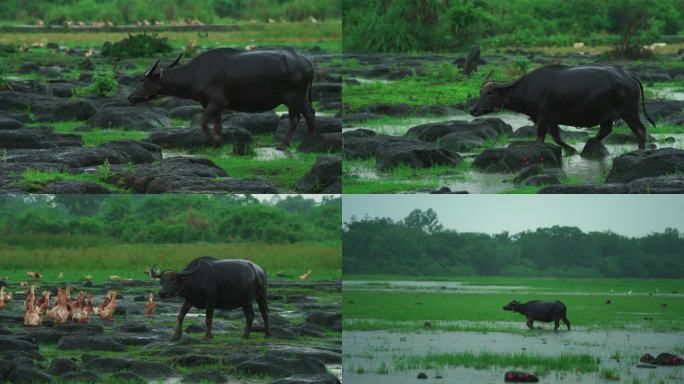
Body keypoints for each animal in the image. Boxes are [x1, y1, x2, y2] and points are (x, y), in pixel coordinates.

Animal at [128, 47, 316, 148]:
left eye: (143, 81)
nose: (130, 97)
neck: (195, 75)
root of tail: (306, 62)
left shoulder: (217, 102)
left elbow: (203, 121)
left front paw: (214, 140)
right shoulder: (213, 106)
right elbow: (217, 125)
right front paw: (218, 142)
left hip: (293, 98)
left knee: (294, 118)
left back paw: (283, 145)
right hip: (301, 97)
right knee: (310, 113)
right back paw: (309, 140)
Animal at [468, 64, 656, 152]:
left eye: (490, 93)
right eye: (480, 92)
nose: (473, 110)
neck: (529, 87)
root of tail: (628, 75)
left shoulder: (544, 117)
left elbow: (540, 138)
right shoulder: (553, 120)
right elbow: (557, 138)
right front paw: (571, 149)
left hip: (629, 112)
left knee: (640, 130)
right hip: (607, 115)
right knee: (605, 130)